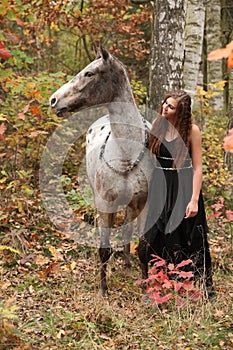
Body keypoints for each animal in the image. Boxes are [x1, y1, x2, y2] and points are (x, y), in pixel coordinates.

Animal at [48, 46, 153, 296]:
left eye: (89, 73)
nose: (53, 100)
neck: (126, 153)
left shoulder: (143, 203)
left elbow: (143, 246)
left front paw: (146, 287)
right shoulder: (105, 203)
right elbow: (104, 249)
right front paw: (103, 291)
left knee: (127, 229)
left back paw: (127, 263)